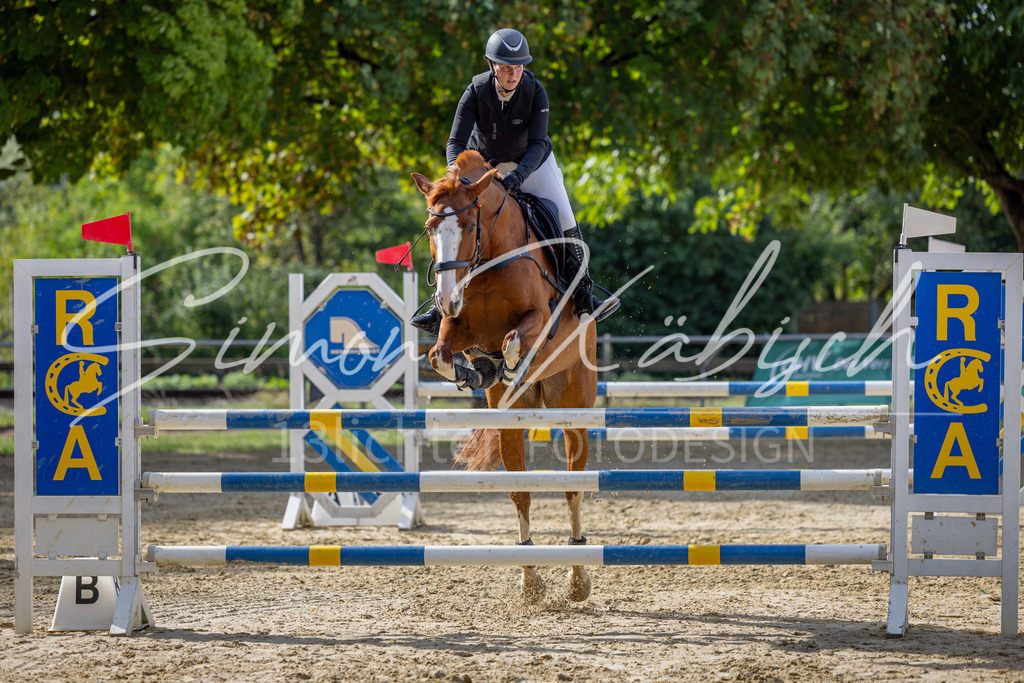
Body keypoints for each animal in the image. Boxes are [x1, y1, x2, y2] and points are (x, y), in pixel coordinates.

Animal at [411, 149, 598, 603]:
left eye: (468, 226)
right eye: (430, 228)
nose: (446, 298)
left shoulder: (539, 319)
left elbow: (514, 339)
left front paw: (509, 363)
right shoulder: (457, 328)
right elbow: (440, 354)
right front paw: (476, 370)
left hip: (574, 407)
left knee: (574, 486)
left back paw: (578, 577)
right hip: (511, 423)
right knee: (520, 490)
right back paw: (530, 577)